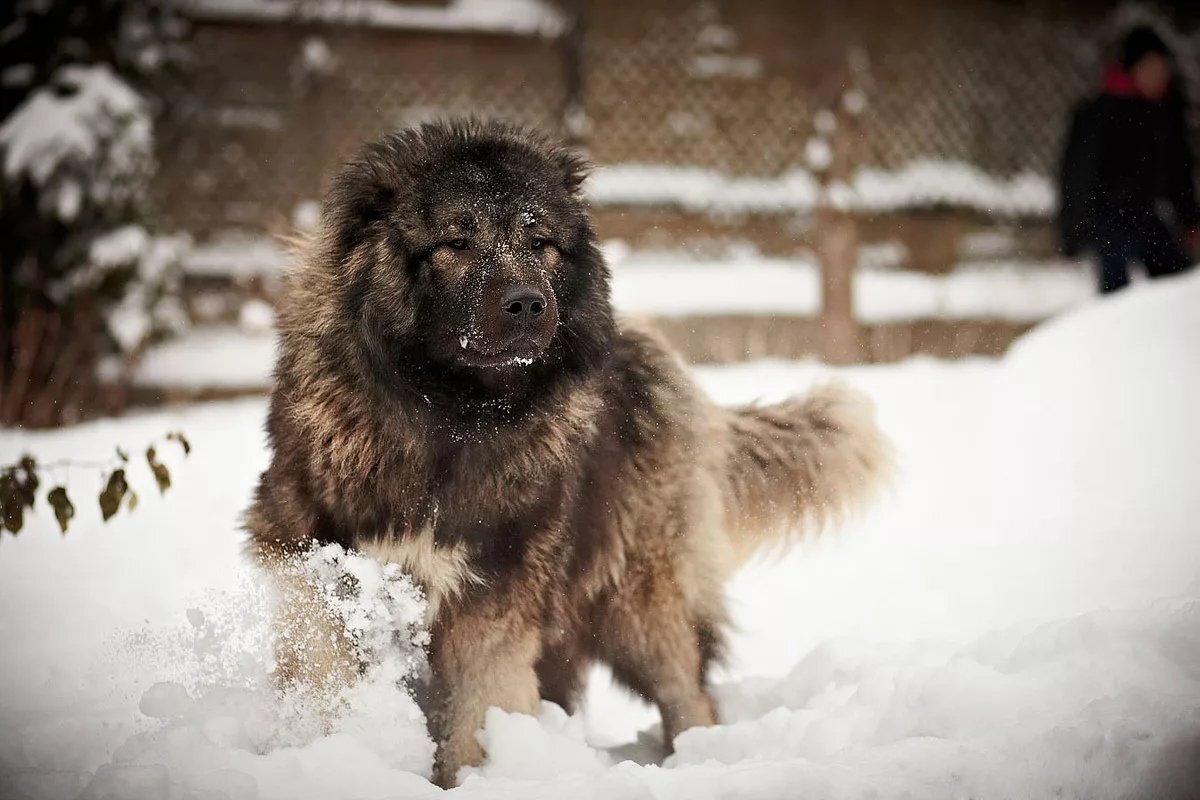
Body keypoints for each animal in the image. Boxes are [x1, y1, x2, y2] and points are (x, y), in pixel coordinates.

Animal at [246, 118, 892, 786]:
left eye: (542, 244)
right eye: (456, 243)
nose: (528, 303)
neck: (448, 421)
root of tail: (669, 369)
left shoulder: (493, 599)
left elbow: (474, 712)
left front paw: (471, 781)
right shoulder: (318, 574)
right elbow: (327, 679)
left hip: (640, 604)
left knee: (689, 691)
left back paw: (696, 761)